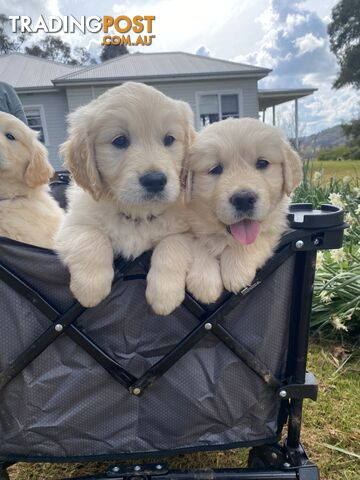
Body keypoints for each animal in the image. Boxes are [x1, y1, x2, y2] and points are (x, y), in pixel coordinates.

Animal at [55, 82, 194, 308]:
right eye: (119, 141)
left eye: (169, 139)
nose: (155, 180)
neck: (137, 214)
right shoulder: (70, 225)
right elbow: (91, 236)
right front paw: (90, 287)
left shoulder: (190, 232)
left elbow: (172, 243)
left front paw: (164, 294)